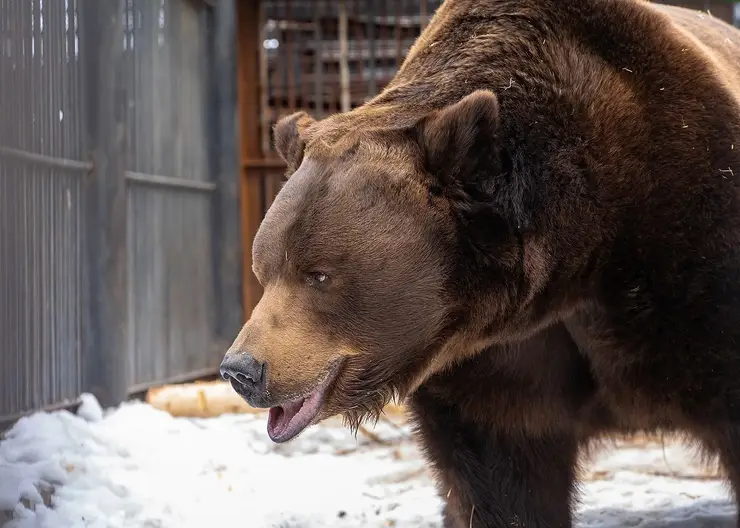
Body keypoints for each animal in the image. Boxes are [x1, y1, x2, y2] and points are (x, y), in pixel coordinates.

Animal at [221, 0, 740, 524]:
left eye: (319, 274)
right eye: (264, 270)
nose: (242, 369)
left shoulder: (694, 255)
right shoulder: (488, 362)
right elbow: (502, 475)